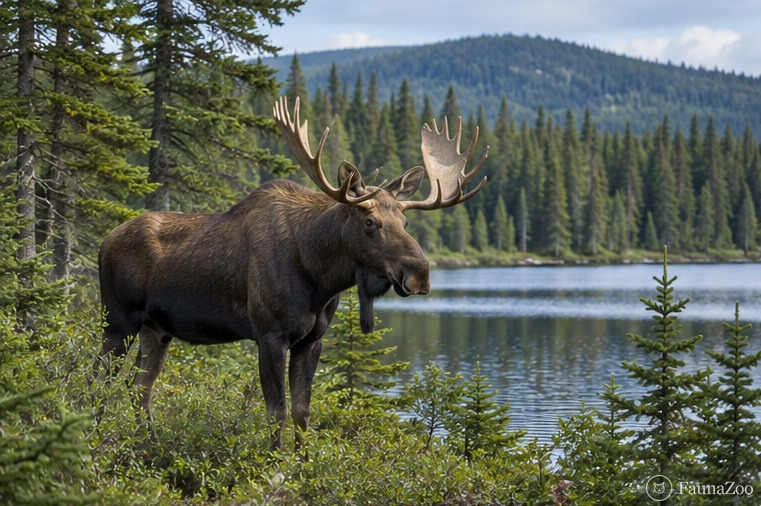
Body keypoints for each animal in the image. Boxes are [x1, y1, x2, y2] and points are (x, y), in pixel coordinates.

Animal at [97, 96, 488, 448]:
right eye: (370, 222)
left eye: (405, 222)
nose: (420, 274)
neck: (319, 277)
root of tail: (103, 243)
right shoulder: (270, 335)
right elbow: (277, 412)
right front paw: (272, 465)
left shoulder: (311, 340)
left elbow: (302, 412)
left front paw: (302, 465)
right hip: (118, 321)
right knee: (99, 378)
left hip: (157, 329)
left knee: (140, 387)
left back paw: (149, 441)